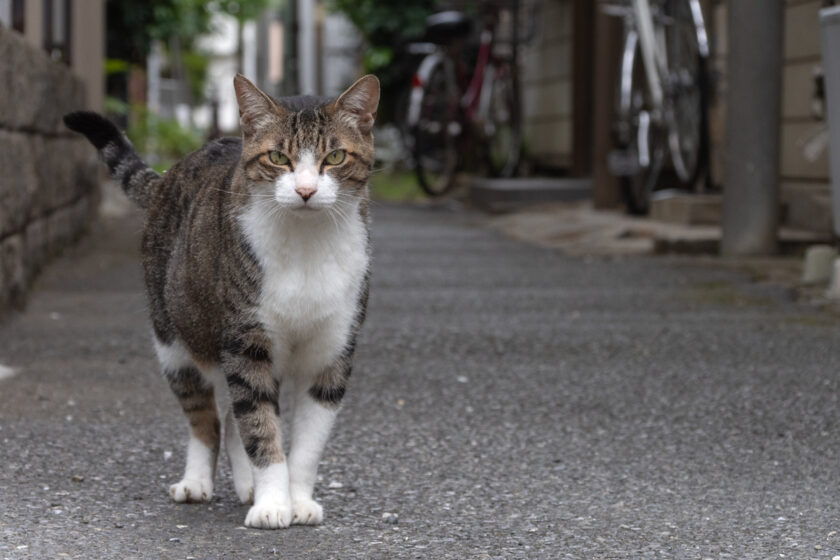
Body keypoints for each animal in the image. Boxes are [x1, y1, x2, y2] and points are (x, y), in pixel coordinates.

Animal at [64, 72, 378, 528]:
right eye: (278, 158)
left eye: (335, 157)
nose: (305, 190)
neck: (306, 245)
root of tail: (169, 175)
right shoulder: (245, 343)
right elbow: (261, 429)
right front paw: (272, 504)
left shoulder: (333, 349)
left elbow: (307, 442)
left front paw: (298, 500)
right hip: (176, 340)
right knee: (207, 418)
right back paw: (197, 482)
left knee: (232, 419)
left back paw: (246, 486)